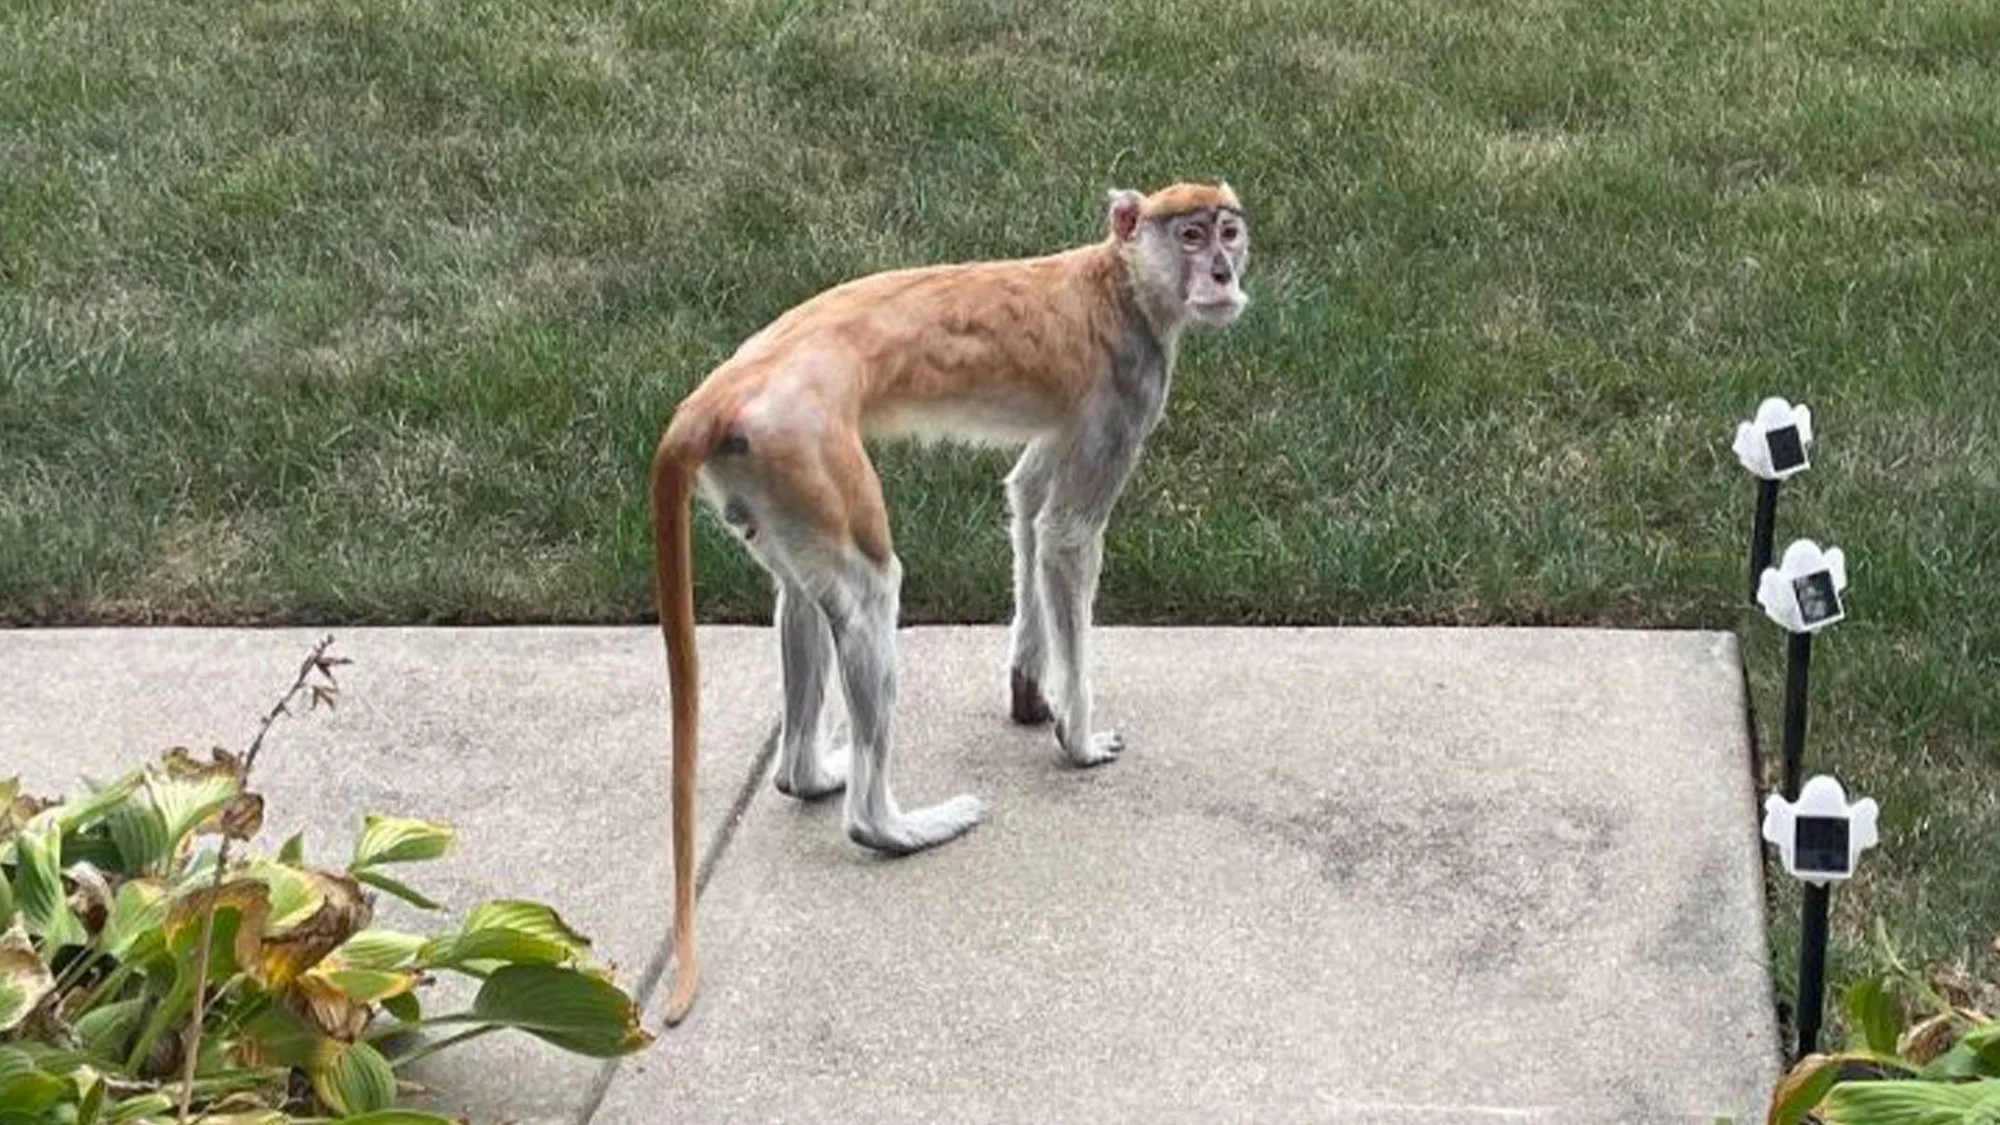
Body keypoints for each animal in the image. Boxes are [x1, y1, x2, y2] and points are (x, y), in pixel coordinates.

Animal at [652, 179, 1248, 1020]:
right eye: (1190, 235)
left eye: (1230, 230)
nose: (1223, 273)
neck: (1120, 278)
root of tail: (719, 395)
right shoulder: (1128, 385)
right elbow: (1067, 534)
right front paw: (1078, 736)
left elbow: (1028, 500)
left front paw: (1030, 687)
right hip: (806, 449)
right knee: (870, 593)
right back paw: (888, 825)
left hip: (762, 474)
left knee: (801, 597)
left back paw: (808, 773)